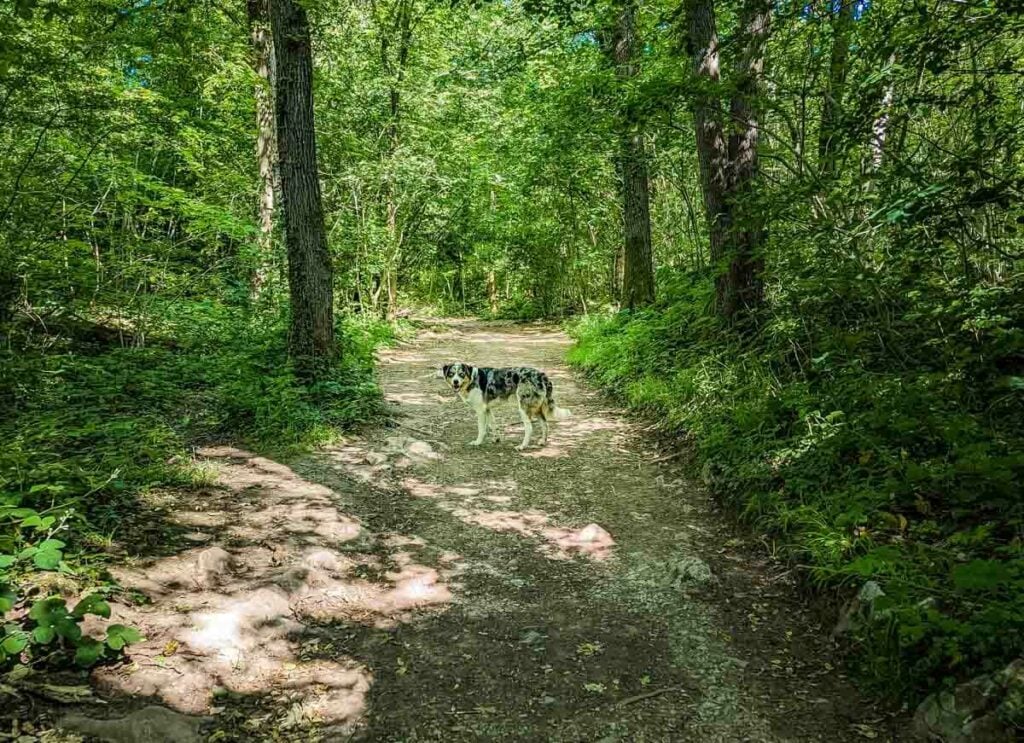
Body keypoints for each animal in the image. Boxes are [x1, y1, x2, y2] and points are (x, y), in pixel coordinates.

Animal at [438, 364, 573, 450]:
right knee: (545, 425)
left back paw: (522, 446)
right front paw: (496, 439)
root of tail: (541, 375)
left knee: (529, 428)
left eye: (461, 374)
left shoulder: (480, 411)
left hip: (523, 408)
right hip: (536, 408)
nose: (455, 382)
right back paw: (542, 442)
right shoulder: (487, 409)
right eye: (451, 374)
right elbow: (493, 425)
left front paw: (478, 442)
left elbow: (481, 429)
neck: (471, 380)